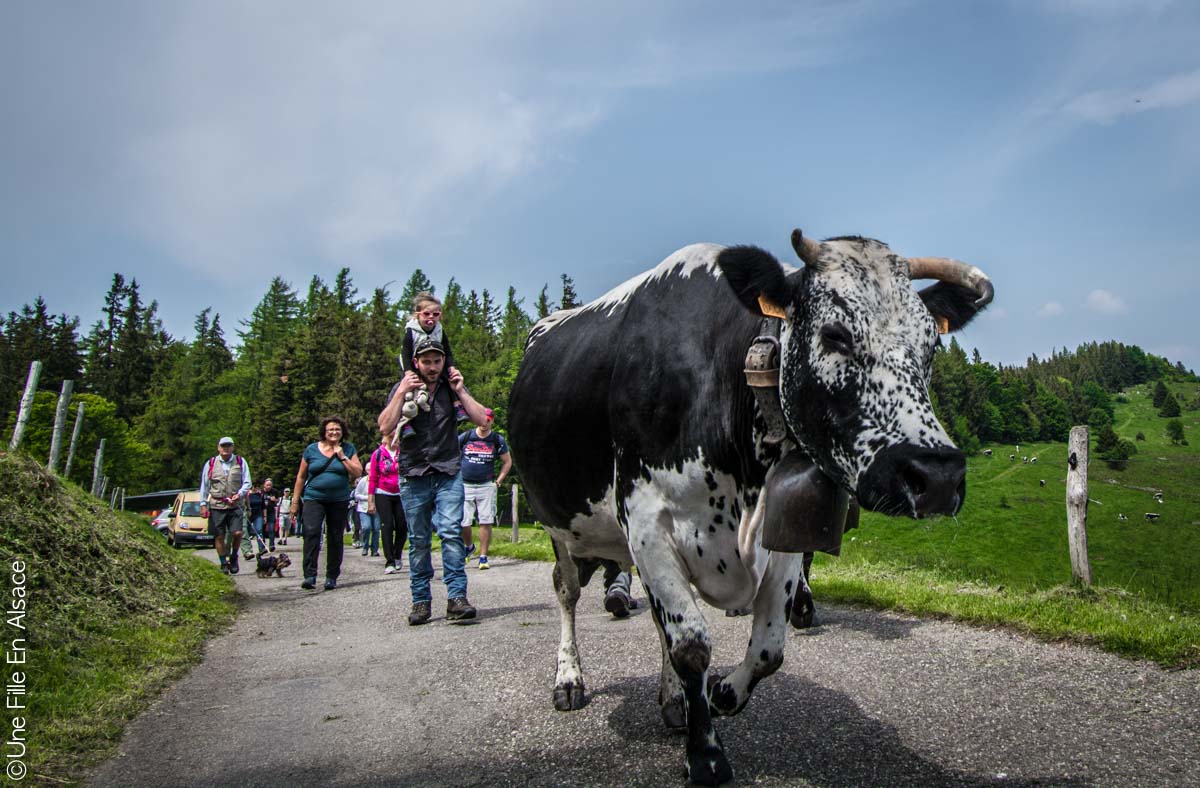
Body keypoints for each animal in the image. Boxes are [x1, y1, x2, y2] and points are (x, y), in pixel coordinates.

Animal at [508, 225, 993, 782]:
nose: (937, 475)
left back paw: (672, 701)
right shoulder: (647, 522)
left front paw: (720, 695)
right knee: (566, 593)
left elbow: (768, 649)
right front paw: (706, 755)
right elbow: (691, 644)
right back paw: (569, 679)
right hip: (558, 526)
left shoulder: (779, 534)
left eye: (930, 344)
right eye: (835, 334)